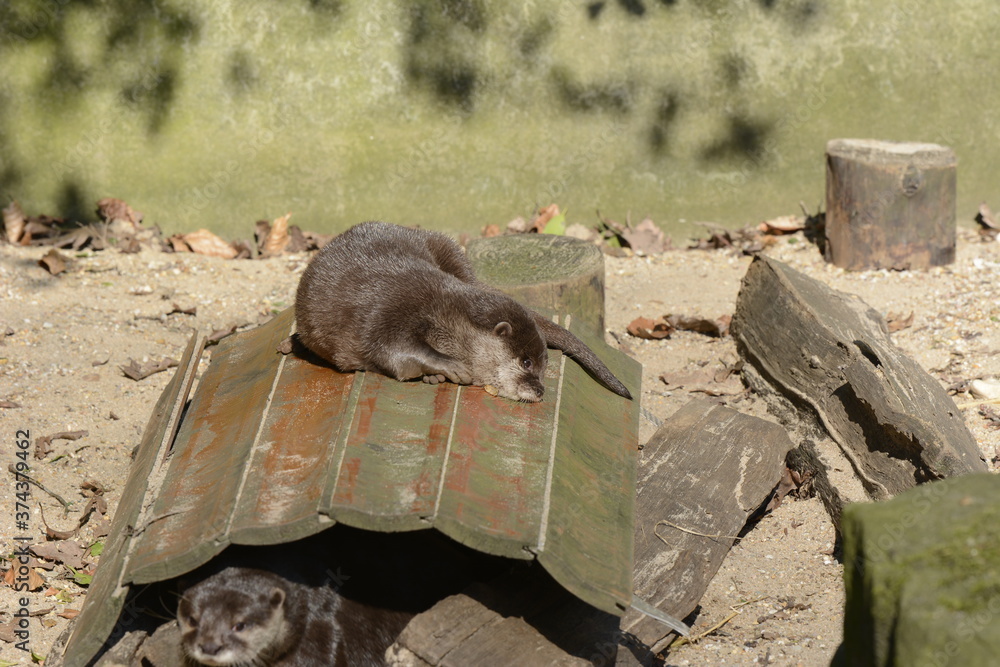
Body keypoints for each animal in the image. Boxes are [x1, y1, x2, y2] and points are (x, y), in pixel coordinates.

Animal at [294, 221, 631, 402]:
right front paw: (453, 366)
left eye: (543, 366)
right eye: (526, 362)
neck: (442, 312)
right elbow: (394, 350)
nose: (540, 391)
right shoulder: (389, 313)